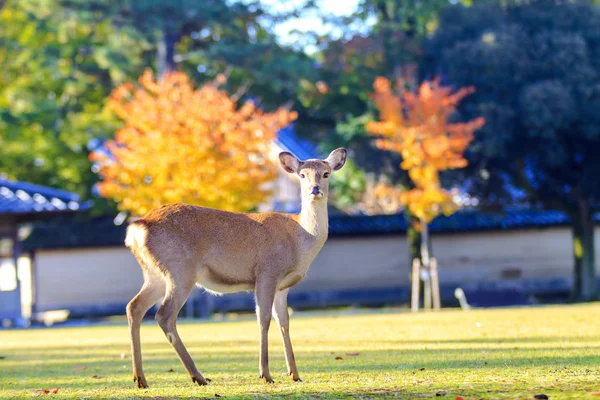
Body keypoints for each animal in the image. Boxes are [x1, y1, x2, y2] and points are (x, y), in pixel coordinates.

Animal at [123, 147, 346, 388]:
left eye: (326, 173)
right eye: (302, 175)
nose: (315, 190)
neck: (301, 239)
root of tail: (137, 229)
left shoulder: (283, 286)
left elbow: (284, 322)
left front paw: (294, 374)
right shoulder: (267, 272)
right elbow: (263, 319)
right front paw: (266, 374)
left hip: (154, 274)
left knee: (134, 307)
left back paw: (140, 378)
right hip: (180, 270)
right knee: (164, 315)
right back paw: (197, 376)